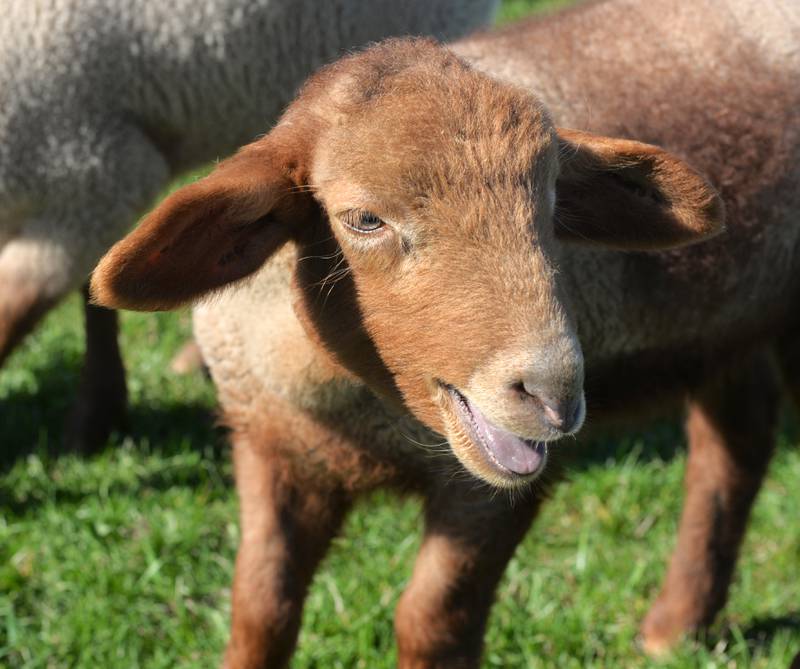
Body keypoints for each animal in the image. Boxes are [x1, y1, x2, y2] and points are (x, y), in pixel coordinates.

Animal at [90, 2, 796, 664]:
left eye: (551, 203)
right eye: (364, 219)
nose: (554, 393)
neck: (359, 411)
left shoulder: (487, 497)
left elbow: (431, 621)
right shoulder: (271, 448)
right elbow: (260, 612)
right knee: (738, 438)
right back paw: (676, 625)